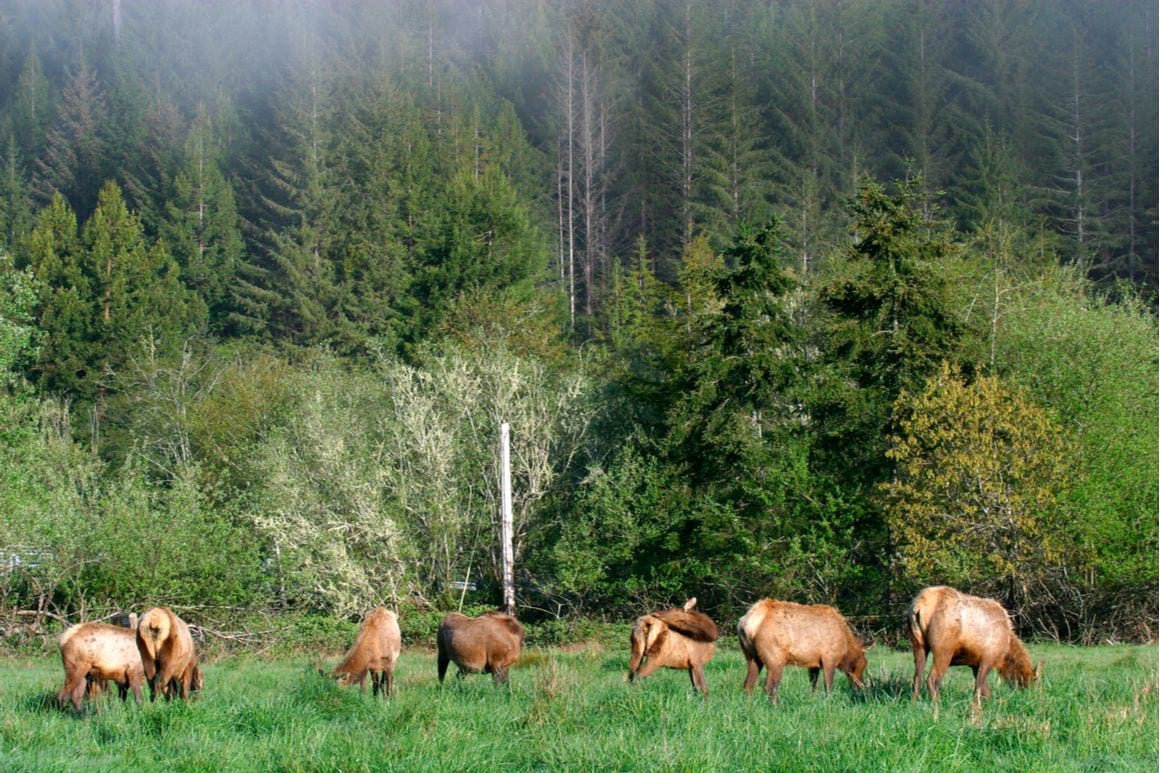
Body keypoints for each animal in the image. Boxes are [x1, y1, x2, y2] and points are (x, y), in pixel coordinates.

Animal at [737, 598, 867, 701]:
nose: (862, 688)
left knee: (748, 684)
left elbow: (813, 685)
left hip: (751, 656)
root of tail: (749, 622)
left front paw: (812, 700)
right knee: (769, 687)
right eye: (863, 665)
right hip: (775, 657)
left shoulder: (814, 663)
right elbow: (828, 686)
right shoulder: (829, 657)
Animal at [904, 584, 1044, 705]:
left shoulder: (974, 664)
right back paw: (937, 707)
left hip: (918, 643)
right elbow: (978, 688)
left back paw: (914, 705)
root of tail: (920, 605)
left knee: (917, 678)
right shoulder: (989, 658)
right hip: (944, 648)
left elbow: (985, 691)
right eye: (1034, 681)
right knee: (932, 679)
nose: (1031, 697)